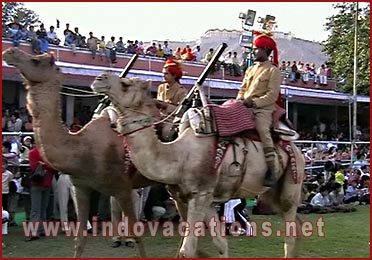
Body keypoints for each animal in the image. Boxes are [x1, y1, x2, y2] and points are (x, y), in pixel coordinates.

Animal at [1, 47, 155, 258]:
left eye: (36, 60)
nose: (10, 52)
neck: (82, 148)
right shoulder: (81, 187)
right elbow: (79, 240)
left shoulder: (122, 186)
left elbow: (139, 236)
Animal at [91, 73, 306, 258]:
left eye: (126, 84)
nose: (99, 78)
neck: (178, 154)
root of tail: (298, 149)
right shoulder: (206, 198)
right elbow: (220, 244)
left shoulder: (200, 194)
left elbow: (186, 251)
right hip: (270, 194)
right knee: (295, 222)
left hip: (293, 180)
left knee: (290, 229)